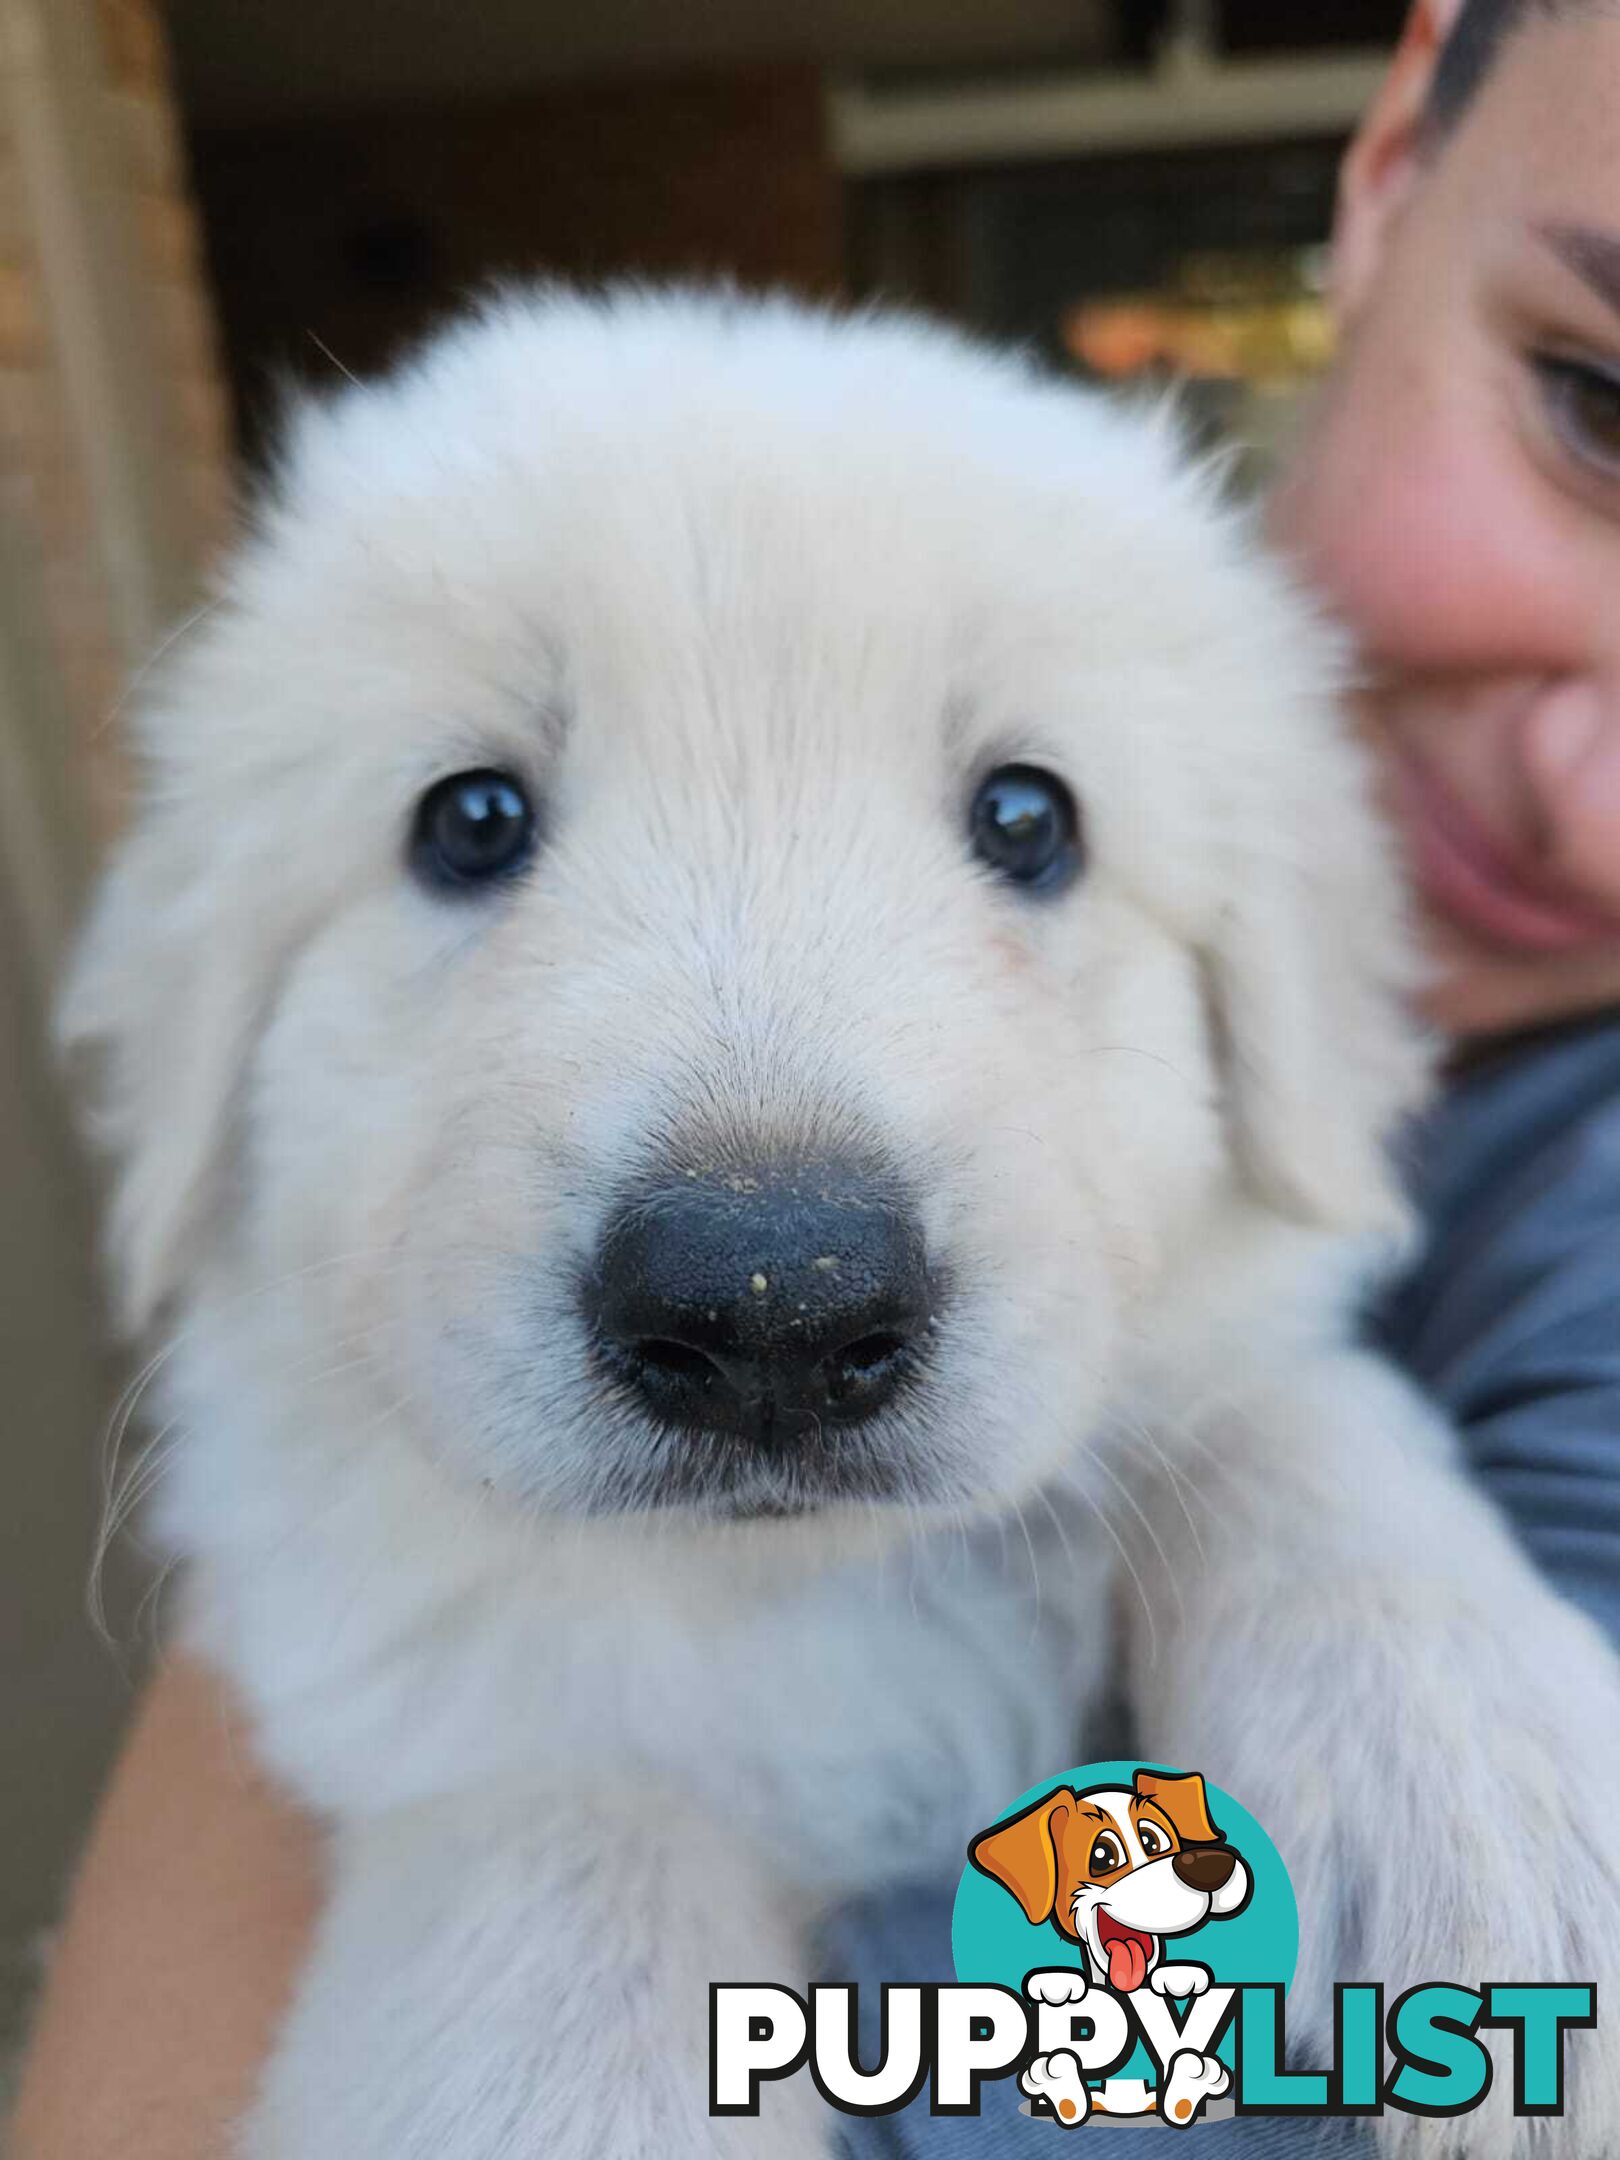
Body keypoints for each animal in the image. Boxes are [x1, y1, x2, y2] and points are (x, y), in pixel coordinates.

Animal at [60, 291, 1620, 2160]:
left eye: (1028, 818)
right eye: (472, 820)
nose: (767, 1309)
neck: (786, 1594)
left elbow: (1284, 1421)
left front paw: (1481, 1781)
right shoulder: (449, 1707)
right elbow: (570, 1830)